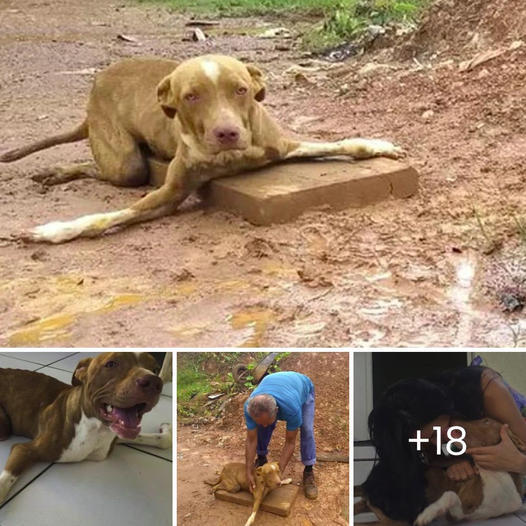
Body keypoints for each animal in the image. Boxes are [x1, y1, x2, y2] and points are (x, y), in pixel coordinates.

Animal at [0, 52, 406, 246]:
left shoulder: (282, 146)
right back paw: (57, 172)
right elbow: (103, 218)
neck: (230, 157)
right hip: (125, 163)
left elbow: (346, 143)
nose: (227, 132)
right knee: (105, 166)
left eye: (241, 90)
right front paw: (53, 231)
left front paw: (380, 144)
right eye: (191, 97)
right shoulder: (170, 193)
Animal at [0, 352, 171, 506]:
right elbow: (5, 482)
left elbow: (161, 440)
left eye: (155, 369)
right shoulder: (25, 449)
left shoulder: (115, 436)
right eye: (111, 364)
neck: (97, 428)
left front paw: (165, 430)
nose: (154, 381)